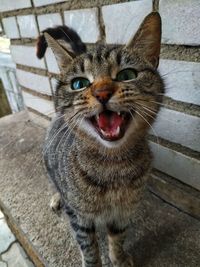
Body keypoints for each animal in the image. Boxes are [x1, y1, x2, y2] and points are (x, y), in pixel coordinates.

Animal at [36, 12, 163, 267]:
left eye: (127, 75)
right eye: (79, 84)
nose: (102, 92)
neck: (113, 166)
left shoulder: (124, 212)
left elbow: (118, 237)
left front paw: (119, 258)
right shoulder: (79, 218)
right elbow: (89, 248)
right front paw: (94, 262)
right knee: (56, 185)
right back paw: (57, 197)